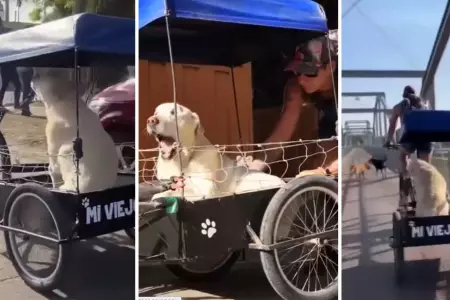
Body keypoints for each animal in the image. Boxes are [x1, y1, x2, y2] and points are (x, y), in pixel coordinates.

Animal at [146, 103, 284, 202]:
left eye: (173, 112)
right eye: (156, 112)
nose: (151, 120)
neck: (183, 160)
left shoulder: (206, 188)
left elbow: (179, 191)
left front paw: (162, 195)